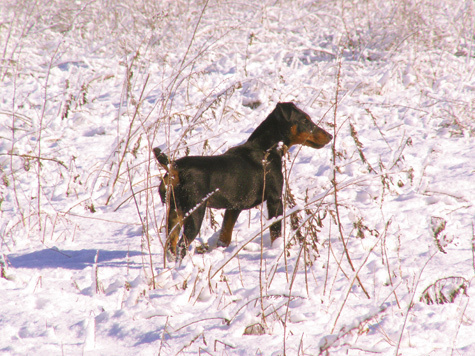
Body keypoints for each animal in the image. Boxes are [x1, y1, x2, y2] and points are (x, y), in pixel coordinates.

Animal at [154, 101, 332, 258]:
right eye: (305, 120)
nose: (330, 135)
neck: (266, 148)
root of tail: (175, 168)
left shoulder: (234, 207)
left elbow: (225, 236)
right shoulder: (275, 199)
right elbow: (276, 232)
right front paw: (277, 249)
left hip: (174, 212)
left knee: (170, 246)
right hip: (194, 213)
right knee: (181, 247)